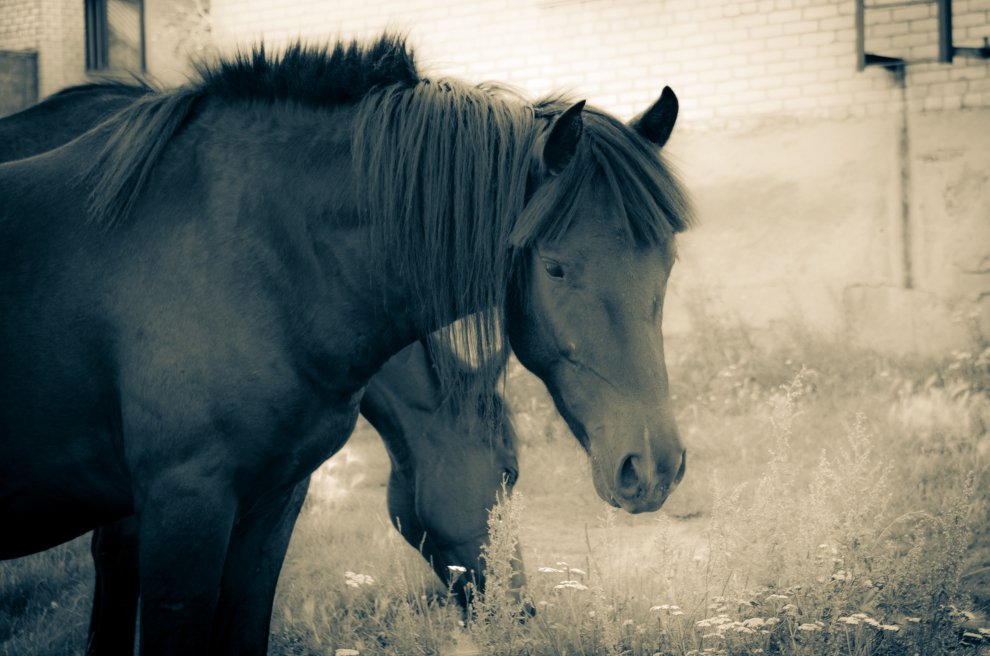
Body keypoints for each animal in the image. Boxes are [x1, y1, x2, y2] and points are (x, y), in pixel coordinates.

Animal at [0, 36, 692, 656]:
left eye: (667, 262)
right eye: (554, 269)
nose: (653, 467)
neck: (254, 255)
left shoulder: (268, 507)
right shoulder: (178, 508)